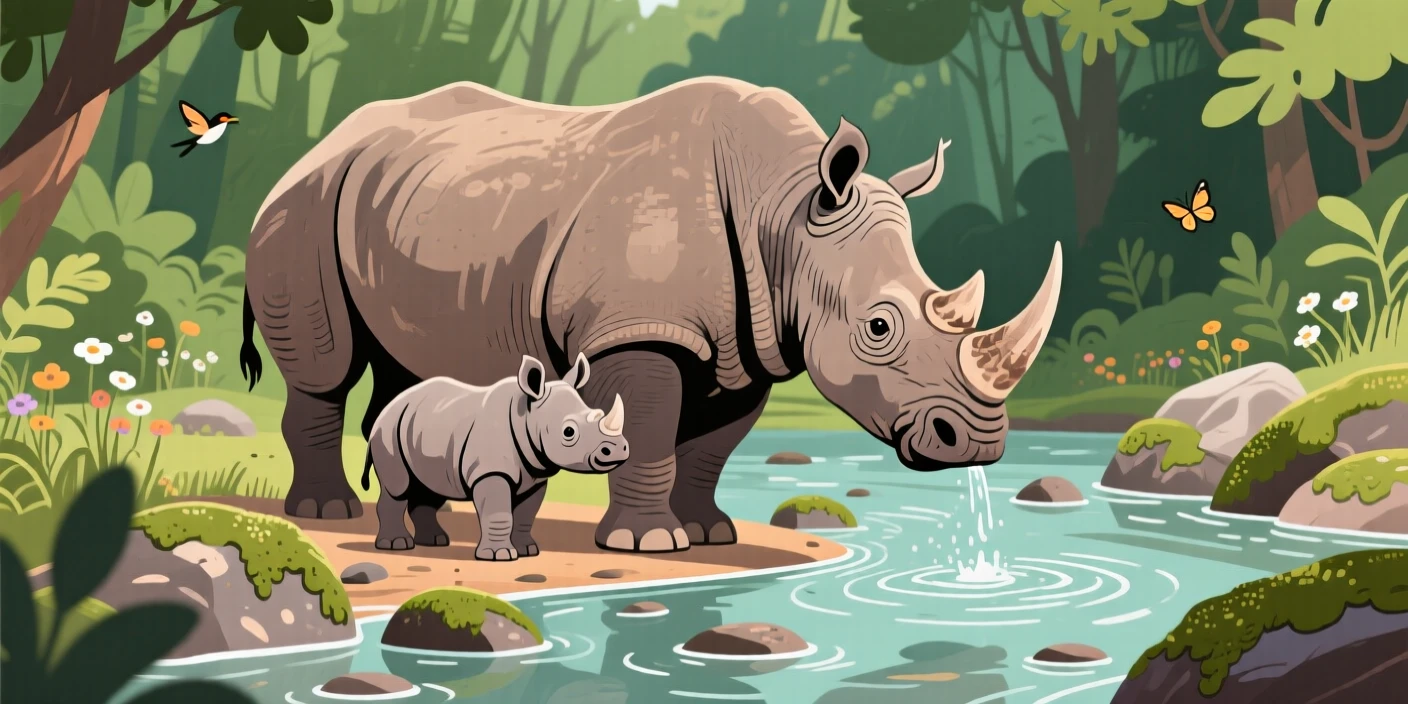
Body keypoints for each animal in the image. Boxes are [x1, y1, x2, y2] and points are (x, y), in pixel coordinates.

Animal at [362, 353, 627, 559]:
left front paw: (528, 551)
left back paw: (435, 541)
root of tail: (388, 408)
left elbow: (525, 515)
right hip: (388, 431)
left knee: (430, 487)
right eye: (569, 432)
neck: (527, 415)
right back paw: (397, 545)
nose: (618, 449)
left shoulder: (535, 474)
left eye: (597, 412)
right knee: (398, 487)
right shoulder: (490, 470)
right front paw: (500, 556)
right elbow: (499, 513)